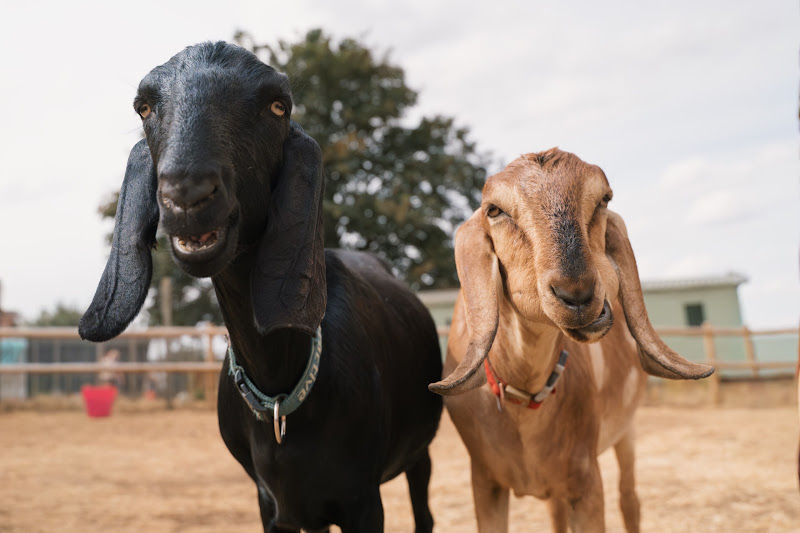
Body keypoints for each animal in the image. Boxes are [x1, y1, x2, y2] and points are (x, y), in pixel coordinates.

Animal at [78, 42, 443, 532]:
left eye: (278, 106)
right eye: (144, 107)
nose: (187, 194)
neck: (280, 389)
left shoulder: (363, 502)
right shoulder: (271, 504)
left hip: (418, 453)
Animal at [428, 149, 713, 532]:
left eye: (604, 199)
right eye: (494, 210)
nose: (576, 294)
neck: (526, 397)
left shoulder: (585, 478)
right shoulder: (485, 481)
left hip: (626, 431)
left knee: (630, 499)